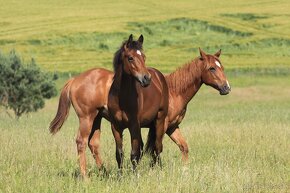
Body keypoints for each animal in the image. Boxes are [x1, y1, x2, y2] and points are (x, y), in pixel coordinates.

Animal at [107, 34, 169, 170]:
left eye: (144, 57)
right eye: (130, 58)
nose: (147, 79)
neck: (121, 97)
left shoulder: (134, 126)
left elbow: (134, 154)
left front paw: (135, 174)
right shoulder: (116, 127)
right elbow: (119, 154)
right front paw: (120, 175)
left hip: (160, 120)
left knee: (158, 147)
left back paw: (159, 169)